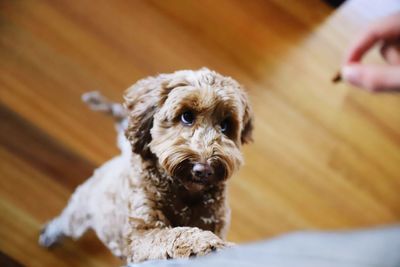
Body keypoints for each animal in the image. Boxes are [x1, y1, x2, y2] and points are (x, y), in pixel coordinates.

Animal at [39, 67, 255, 264]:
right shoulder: (140, 234)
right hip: (82, 208)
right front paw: (207, 244)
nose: (204, 170)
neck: (185, 194)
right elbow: (175, 234)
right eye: (187, 116)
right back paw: (50, 234)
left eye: (226, 125)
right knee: (65, 221)